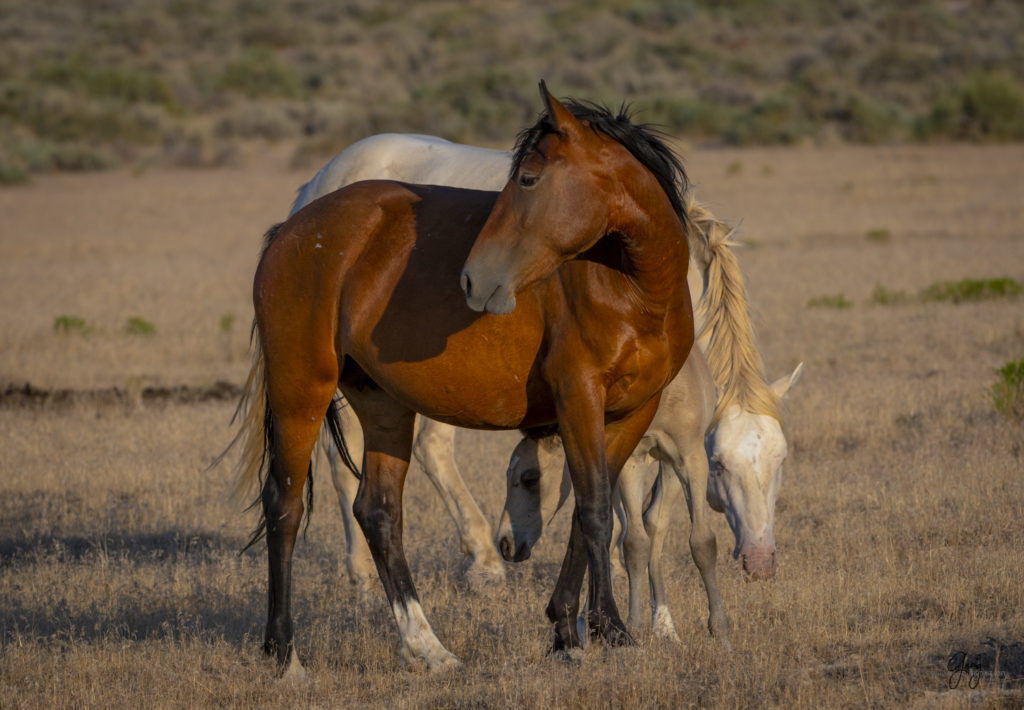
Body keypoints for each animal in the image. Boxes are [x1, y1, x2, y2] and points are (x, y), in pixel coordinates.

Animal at [232, 80, 696, 672]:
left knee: (378, 512)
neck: (632, 289)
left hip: (383, 404)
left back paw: (427, 648)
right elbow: (595, 511)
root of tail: (293, 226)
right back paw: (285, 655)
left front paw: (568, 628)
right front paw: (605, 629)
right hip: (301, 391)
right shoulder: (579, 400)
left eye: (528, 178)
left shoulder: (633, 412)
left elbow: (584, 514)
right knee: (286, 506)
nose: (474, 278)